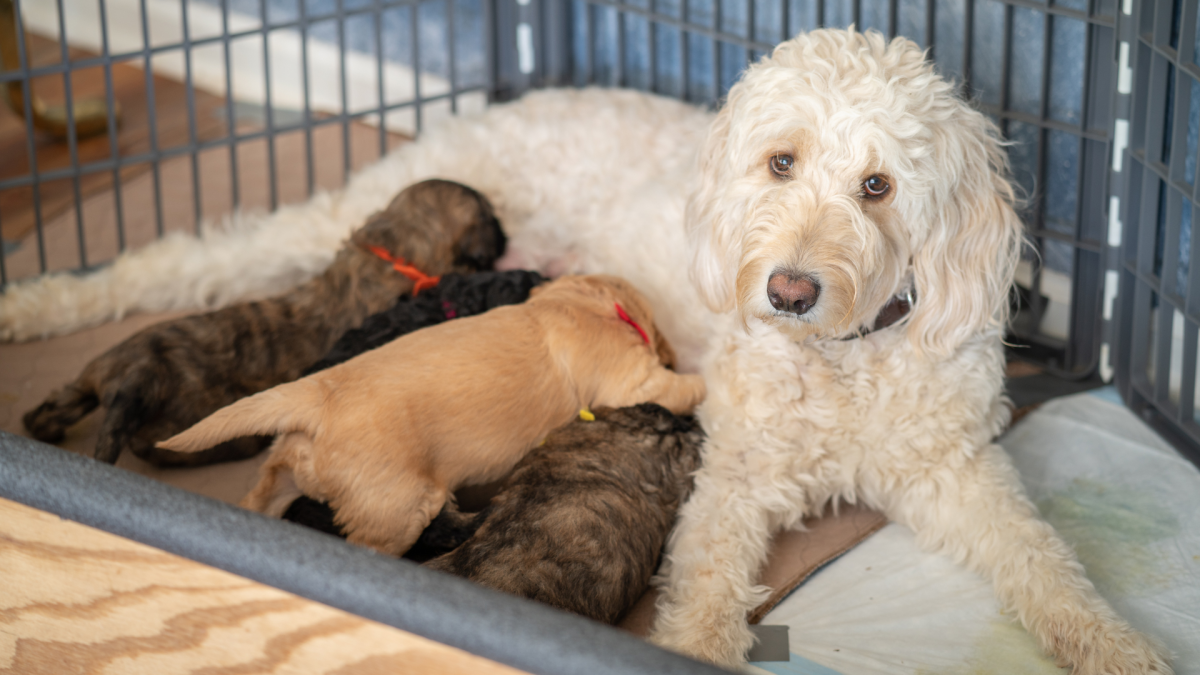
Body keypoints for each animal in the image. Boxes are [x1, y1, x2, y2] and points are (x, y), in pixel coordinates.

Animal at [21, 178, 504, 461]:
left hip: (90, 375)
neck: (389, 251)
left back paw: (43, 426)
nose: (506, 235)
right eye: (493, 220)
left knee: (58, 404)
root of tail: (136, 376)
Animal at [157, 270, 700, 554]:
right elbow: (681, 386)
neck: (585, 303)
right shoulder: (633, 381)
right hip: (395, 511)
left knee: (262, 496)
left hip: (288, 466)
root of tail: (317, 397)